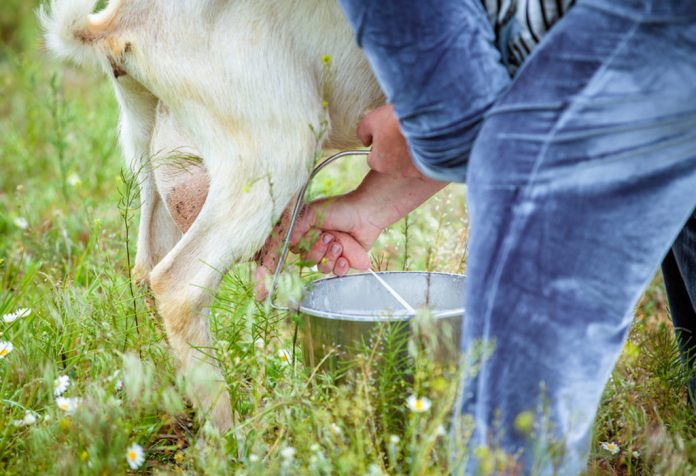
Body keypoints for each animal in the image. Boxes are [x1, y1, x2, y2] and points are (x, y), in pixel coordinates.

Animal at [40, 0, 384, 429]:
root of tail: (120, 20)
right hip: (275, 144)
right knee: (177, 285)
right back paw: (231, 434)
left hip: (152, 155)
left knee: (145, 270)